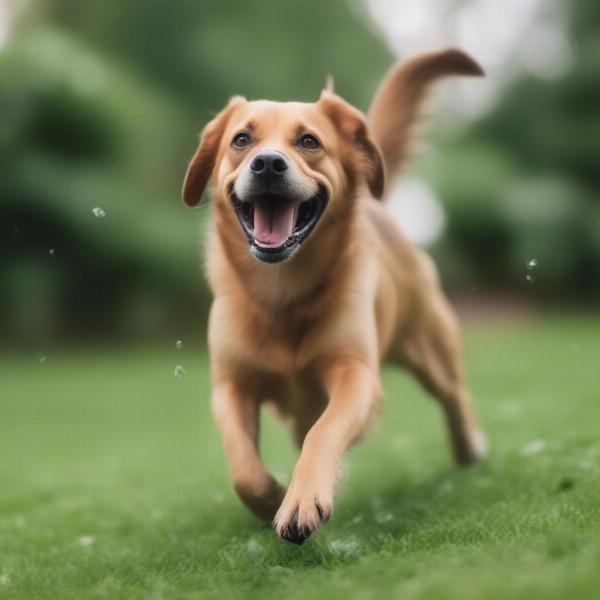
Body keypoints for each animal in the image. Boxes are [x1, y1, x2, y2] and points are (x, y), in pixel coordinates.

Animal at [182, 47, 488, 544]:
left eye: (308, 141)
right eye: (241, 139)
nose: (268, 163)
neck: (281, 294)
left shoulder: (355, 375)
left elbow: (324, 431)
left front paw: (302, 499)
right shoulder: (231, 386)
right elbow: (243, 467)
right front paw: (270, 495)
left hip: (432, 348)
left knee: (454, 396)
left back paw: (469, 449)